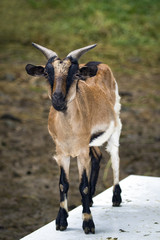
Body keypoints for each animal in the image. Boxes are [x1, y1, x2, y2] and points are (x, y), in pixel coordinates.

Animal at [25, 42, 122, 233]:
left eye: (76, 74)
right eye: (46, 73)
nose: (58, 99)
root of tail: (98, 63)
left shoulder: (82, 152)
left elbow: (82, 186)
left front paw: (88, 223)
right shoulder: (62, 152)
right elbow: (63, 183)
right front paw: (61, 220)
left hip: (115, 125)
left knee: (114, 157)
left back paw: (116, 197)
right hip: (91, 141)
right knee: (98, 156)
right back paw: (91, 199)